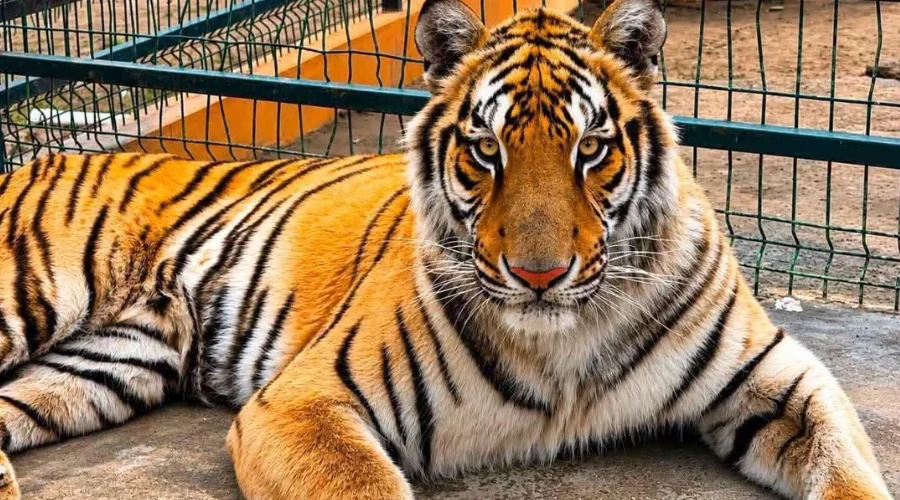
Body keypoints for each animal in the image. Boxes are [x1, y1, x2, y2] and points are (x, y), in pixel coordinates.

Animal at [0, 0, 891, 498]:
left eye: (591, 149)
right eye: (486, 150)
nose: (540, 275)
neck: (570, 339)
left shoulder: (780, 378)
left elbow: (850, 473)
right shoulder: (306, 400)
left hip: (108, 367)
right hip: (28, 296)